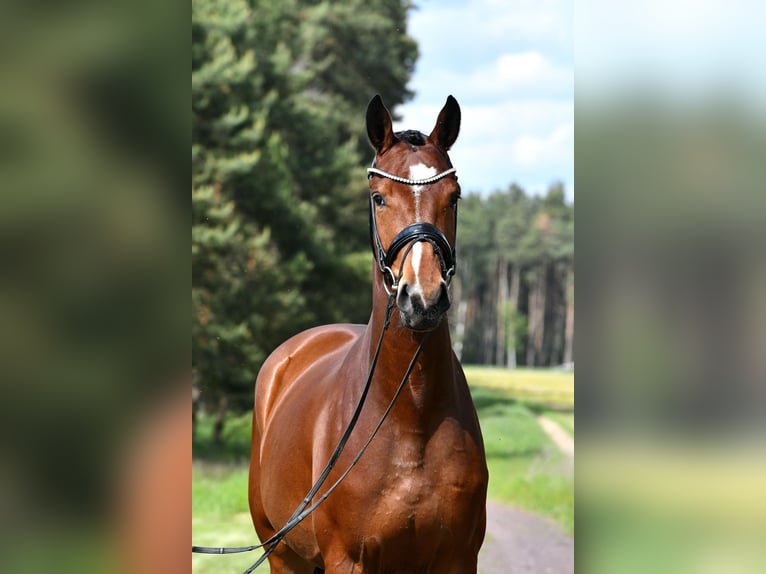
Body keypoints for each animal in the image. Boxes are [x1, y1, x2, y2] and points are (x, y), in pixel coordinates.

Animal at [248, 95, 488, 573]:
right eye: (379, 198)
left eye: (454, 197)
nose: (423, 299)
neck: (410, 417)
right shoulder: (348, 560)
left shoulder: (458, 559)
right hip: (282, 555)